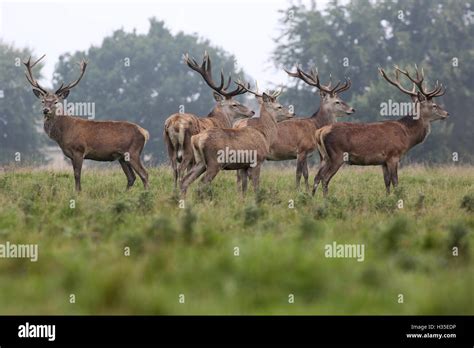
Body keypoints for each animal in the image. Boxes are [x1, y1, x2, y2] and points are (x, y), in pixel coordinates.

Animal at [24, 55, 149, 190]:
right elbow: (75, 174)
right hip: (122, 157)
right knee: (131, 177)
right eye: (43, 101)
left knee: (144, 174)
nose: (45, 110)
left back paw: (146, 193)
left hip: (133, 152)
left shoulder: (79, 150)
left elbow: (77, 175)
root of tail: (145, 133)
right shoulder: (71, 155)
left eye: (56, 101)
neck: (62, 134)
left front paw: (78, 192)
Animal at [166, 52, 256, 189]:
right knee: (181, 170)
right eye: (234, 104)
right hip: (188, 150)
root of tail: (174, 123)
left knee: (174, 171)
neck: (220, 121)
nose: (252, 111)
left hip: (170, 148)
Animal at [314, 65, 448, 196]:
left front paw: (387, 198)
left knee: (317, 177)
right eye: (434, 105)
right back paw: (326, 199)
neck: (407, 136)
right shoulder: (393, 156)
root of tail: (320, 131)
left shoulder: (383, 161)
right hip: (337, 155)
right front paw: (398, 199)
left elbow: (387, 183)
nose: (447, 113)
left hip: (325, 157)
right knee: (325, 178)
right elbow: (395, 182)